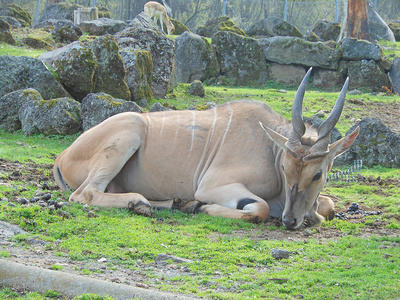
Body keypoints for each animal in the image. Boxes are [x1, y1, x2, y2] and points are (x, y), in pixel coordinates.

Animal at [54, 69, 360, 230]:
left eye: (317, 174)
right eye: (285, 167)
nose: (289, 220)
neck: (271, 149)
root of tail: (61, 157)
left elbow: (329, 206)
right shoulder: (213, 185)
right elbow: (259, 208)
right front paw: (200, 207)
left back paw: (170, 203)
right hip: (130, 132)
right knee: (85, 194)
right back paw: (140, 203)